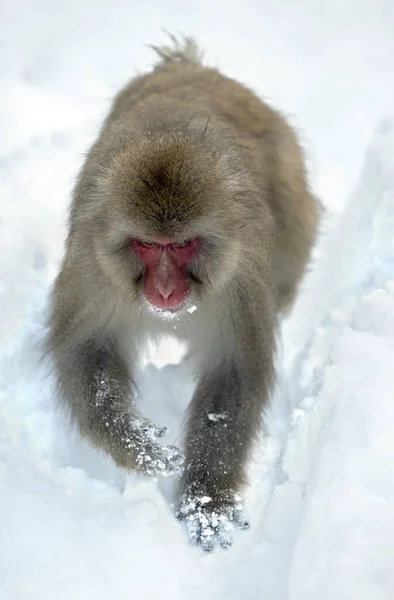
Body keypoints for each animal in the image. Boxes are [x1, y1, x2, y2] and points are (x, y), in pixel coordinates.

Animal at [47, 35, 322, 552]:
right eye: (148, 246)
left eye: (181, 245)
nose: (165, 288)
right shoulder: (93, 266)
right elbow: (85, 351)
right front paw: (136, 445)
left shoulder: (241, 277)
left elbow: (234, 372)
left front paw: (206, 501)